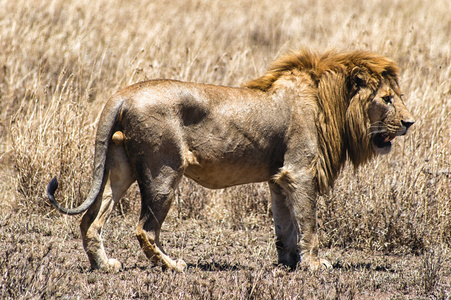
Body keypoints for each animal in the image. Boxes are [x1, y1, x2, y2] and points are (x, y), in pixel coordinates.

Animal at [47, 48, 414, 272]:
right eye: (387, 99)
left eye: (396, 96)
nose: (410, 122)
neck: (330, 103)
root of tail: (123, 94)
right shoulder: (300, 172)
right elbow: (308, 224)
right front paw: (313, 265)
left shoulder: (280, 178)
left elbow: (285, 225)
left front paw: (288, 262)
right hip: (163, 171)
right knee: (144, 229)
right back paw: (172, 266)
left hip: (120, 169)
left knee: (91, 220)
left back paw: (104, 265)